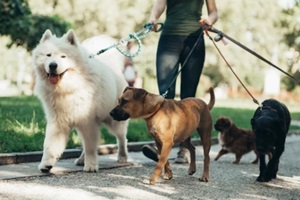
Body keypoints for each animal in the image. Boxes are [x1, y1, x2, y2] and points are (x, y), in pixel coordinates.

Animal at [32, 28, 129, 173]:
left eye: (63, 56)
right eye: (48, 55)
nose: (53, 65)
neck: (67, 88)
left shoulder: (87, 121)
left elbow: (90, 148)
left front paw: (91, 166)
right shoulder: (57, 122)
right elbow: (50, 145)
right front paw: (46, 164)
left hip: (114, 121)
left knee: (122, 138)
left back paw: (122, 157)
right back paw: (81, 160)